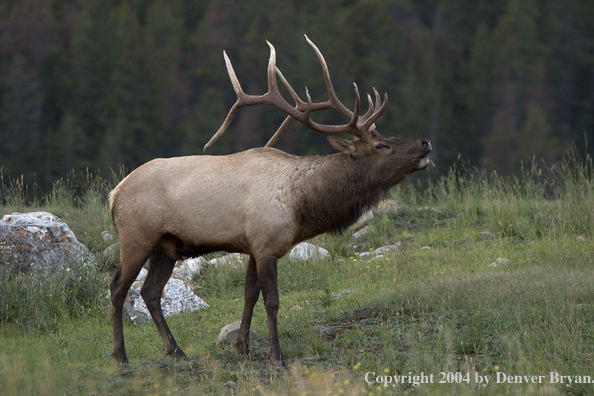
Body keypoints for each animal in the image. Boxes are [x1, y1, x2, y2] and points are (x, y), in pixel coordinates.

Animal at [107, 35, 430, 364]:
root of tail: (113, 194)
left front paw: (242, 347)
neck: (301, 207)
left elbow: (249, 295)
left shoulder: (252, 245)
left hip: (167, 245)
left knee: (150, 291)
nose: (425, 143)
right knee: (118, 287)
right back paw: (120, 354)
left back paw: (176, 350)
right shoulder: (266, 245)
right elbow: (272, 300)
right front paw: (276, 354)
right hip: (137, 236)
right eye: (381, 145)